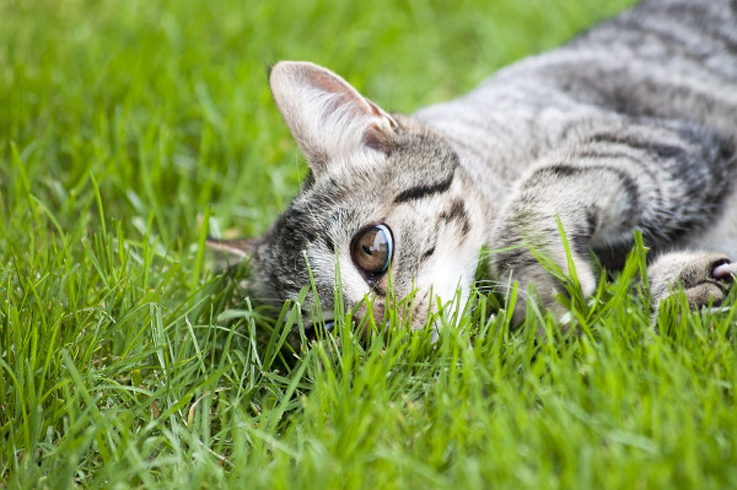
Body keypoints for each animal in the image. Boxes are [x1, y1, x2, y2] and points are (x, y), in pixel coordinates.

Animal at [206, 0, 736, 334]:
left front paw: (538, 286)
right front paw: (684, 285)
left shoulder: (668, 136)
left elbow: (539, 194)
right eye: (327, 328)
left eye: (371, 249)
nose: (387, 332)